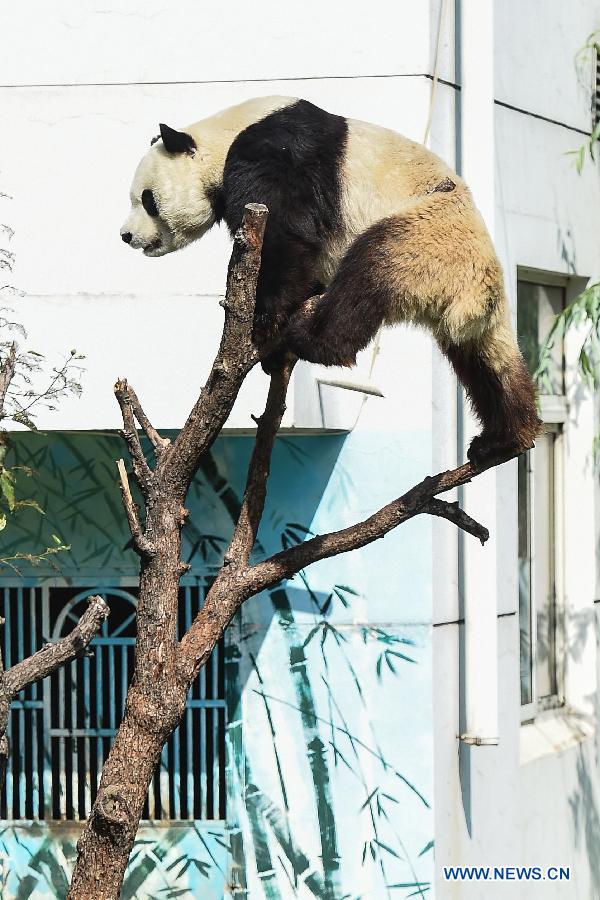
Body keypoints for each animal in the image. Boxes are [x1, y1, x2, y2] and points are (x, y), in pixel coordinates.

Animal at [119, 97, 540, 464]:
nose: (125, 235)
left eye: (147, 199)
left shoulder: (277, 153)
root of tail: (479, 292)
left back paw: (314, 339)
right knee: (488, 364)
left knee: (367, 274)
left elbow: (286, 231)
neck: (224, 134)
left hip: (426, 236)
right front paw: (273, 351)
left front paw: (265, 321)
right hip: (463, 294)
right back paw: (504, 439)